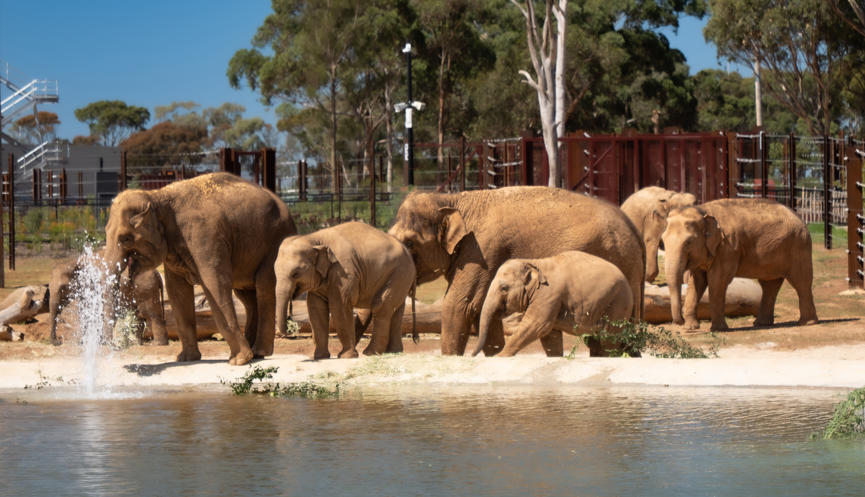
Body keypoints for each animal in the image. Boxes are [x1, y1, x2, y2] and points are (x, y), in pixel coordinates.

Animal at [104, 172, 296, 365]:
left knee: (264, 288)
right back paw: (253, 351)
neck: (157, 196)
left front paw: (239, 360)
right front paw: (186, 359)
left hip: (275, 242)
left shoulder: (205, 237)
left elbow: (215, 285)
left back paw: (258, 352)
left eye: (125, 238)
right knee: (247, 296)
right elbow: (177, 292)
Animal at [275, 221, 416, 359]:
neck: (313, 238)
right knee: (395, 309)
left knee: (381, 306)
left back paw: (370, 353)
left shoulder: (343, 273)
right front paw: (320, 357)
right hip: (400, 276)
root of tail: (408, 254)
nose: (290, 329)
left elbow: (339, 307)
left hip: (400, 272)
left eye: (296, 274)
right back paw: (393, 352)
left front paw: (346, 356)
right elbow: (316, 309)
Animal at [472, 251, 634, 357]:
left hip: (618, 304)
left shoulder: (548, 295)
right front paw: (555, 357)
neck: (534, 263)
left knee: (608, 339)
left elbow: (537, 326)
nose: (472, 355)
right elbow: (550, 335)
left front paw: (499, 357)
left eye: (504, 288)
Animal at [662, 198, 818, 331]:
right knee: (769, 285)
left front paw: (718, 329)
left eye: (688, 242)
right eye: (663, 240)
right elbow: (697, 283)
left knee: (801, 282)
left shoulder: (727, 247)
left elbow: (717, 281)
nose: (680, 320)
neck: (703, 210)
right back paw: (761, 324)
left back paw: (807, 323)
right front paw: (690, 328)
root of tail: (800, 218)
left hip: (799, 246)